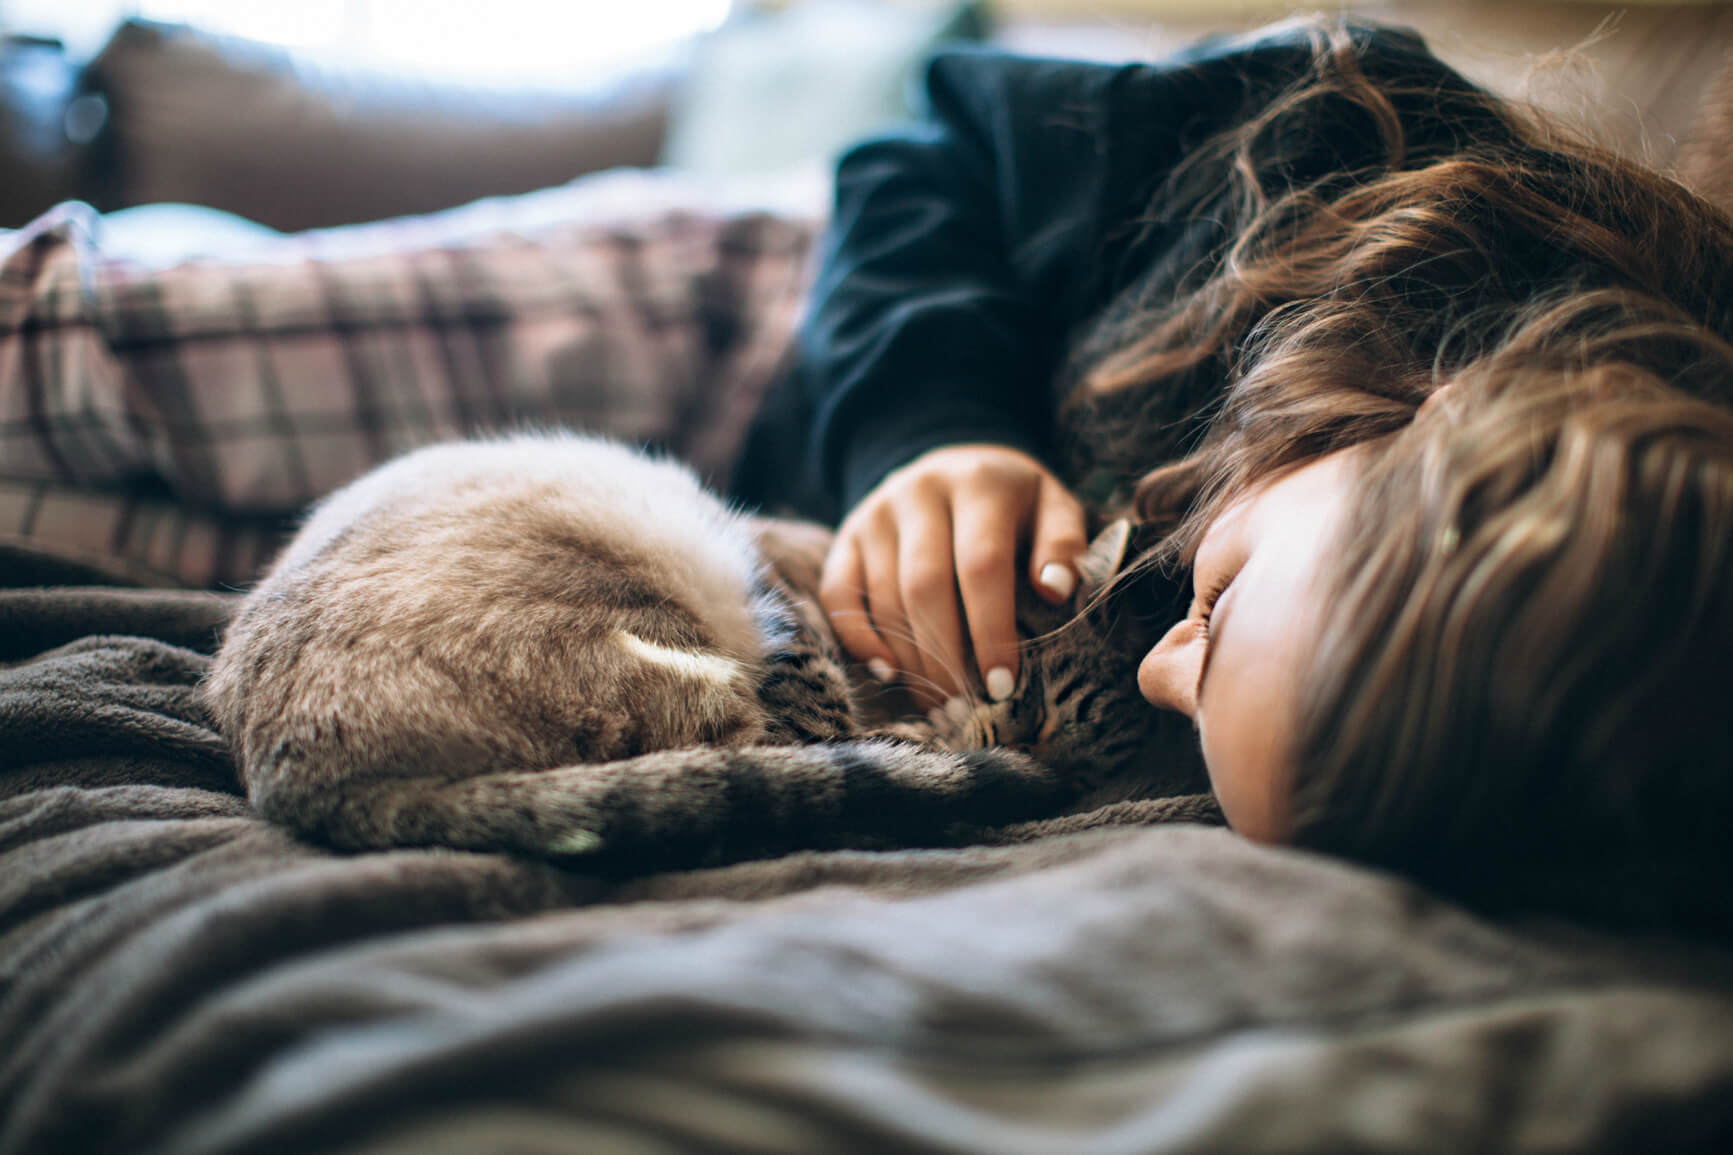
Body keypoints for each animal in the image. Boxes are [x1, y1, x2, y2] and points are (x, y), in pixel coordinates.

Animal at [206, 431, 1206, 863]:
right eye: (1031, 702)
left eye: (1089, 769)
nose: (1041, 771)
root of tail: (299, 768)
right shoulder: (778, 595)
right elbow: (820, 701)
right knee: (786, 776)